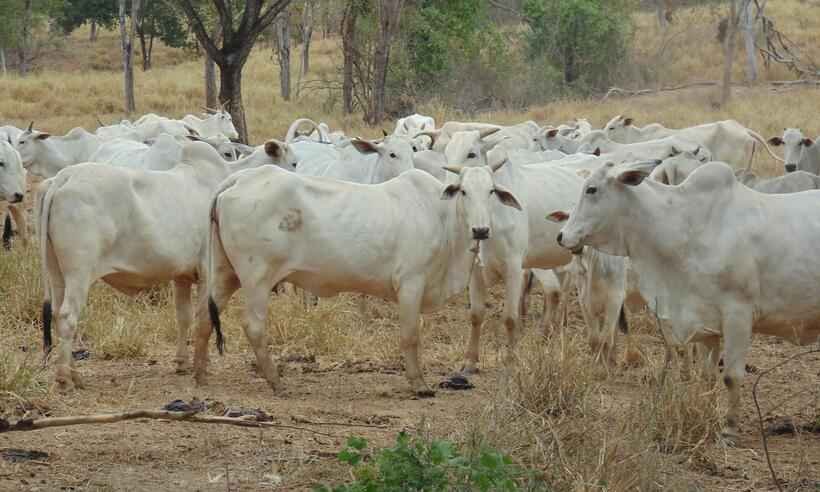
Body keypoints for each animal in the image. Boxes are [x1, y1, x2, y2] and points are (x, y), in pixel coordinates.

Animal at [37, 139, 297, 390]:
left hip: (56, 273)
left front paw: (182, 362)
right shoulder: (206, 272)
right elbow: (202, 316)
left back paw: (75, 375)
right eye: (294, 163)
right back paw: (65, 380)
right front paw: (202, 363)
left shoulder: (181, 276)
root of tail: (63, 177)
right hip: (79, 273)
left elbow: (184, 316)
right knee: (67, 316)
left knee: (57, 314)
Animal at [200, 161, 523, 396]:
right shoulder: (411, 283)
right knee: (253, 326)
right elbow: (410, 336)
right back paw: (276, 381)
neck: (440, 216)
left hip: (226, 274)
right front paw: (418, 384)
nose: (481, 230)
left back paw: (198, 374)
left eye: (491, 191)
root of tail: (239, 179)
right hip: (257, 278)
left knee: (204, 317)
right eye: (464, 191)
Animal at [553, 159, 820, 439]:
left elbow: (731, 376)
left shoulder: (738, 315)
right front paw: (709, 414)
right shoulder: (705, 321)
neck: (685, 227)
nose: (561, 236)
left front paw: (729, 428)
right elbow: (707, 375)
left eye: (591, 189)